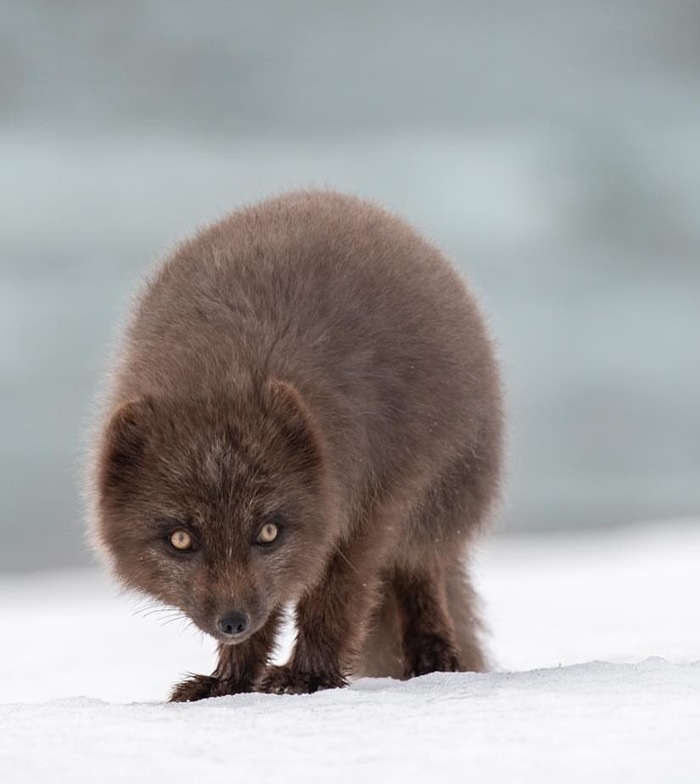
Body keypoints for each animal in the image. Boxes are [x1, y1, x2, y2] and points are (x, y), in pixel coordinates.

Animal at [89, 188, 504, 700]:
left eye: (268, 531)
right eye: (181, 539)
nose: (232, 621)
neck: (223, 368)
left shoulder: (366, 508)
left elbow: (334, 597)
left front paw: (308, 676)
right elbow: (269, 616)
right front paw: (228, 682)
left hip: (442, 494)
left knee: (421, 569)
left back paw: (434, 656)